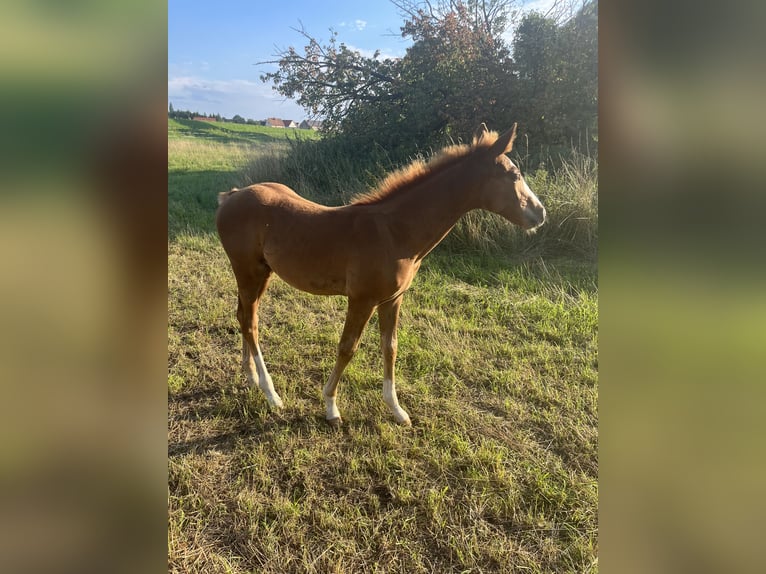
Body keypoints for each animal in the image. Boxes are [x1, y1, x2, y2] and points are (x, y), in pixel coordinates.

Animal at [216, 126, 544, 428]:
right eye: (514, 175)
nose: (540, 214)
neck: (395, 233)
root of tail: (231, 196)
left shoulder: (392, 300)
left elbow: (391, 348)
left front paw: (397, 411)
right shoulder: (362, 300)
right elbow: (347, 347)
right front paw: (331, 407)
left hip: (261, 274)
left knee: (243, 317)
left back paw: (251, 377)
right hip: (248, 271)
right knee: (251, 322)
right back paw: (271, 394)